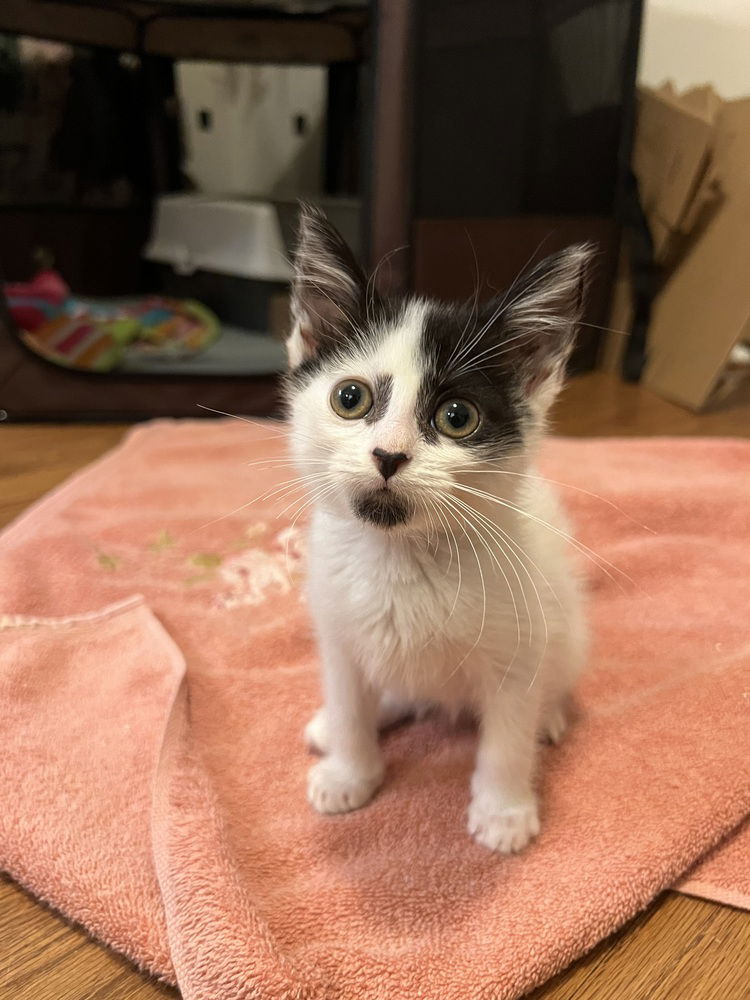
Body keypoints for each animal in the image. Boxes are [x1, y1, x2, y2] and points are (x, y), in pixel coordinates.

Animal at [284, 207, 592, 856]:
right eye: (350, 398)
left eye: (457, 417)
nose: (389, 455)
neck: (402, 555)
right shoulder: (337, 630)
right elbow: (350, 700)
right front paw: (350, 771)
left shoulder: (521, 646)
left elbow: (507, 736)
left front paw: (503, 811)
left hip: (568, 627)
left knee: (551, 682)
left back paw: (550, 718)